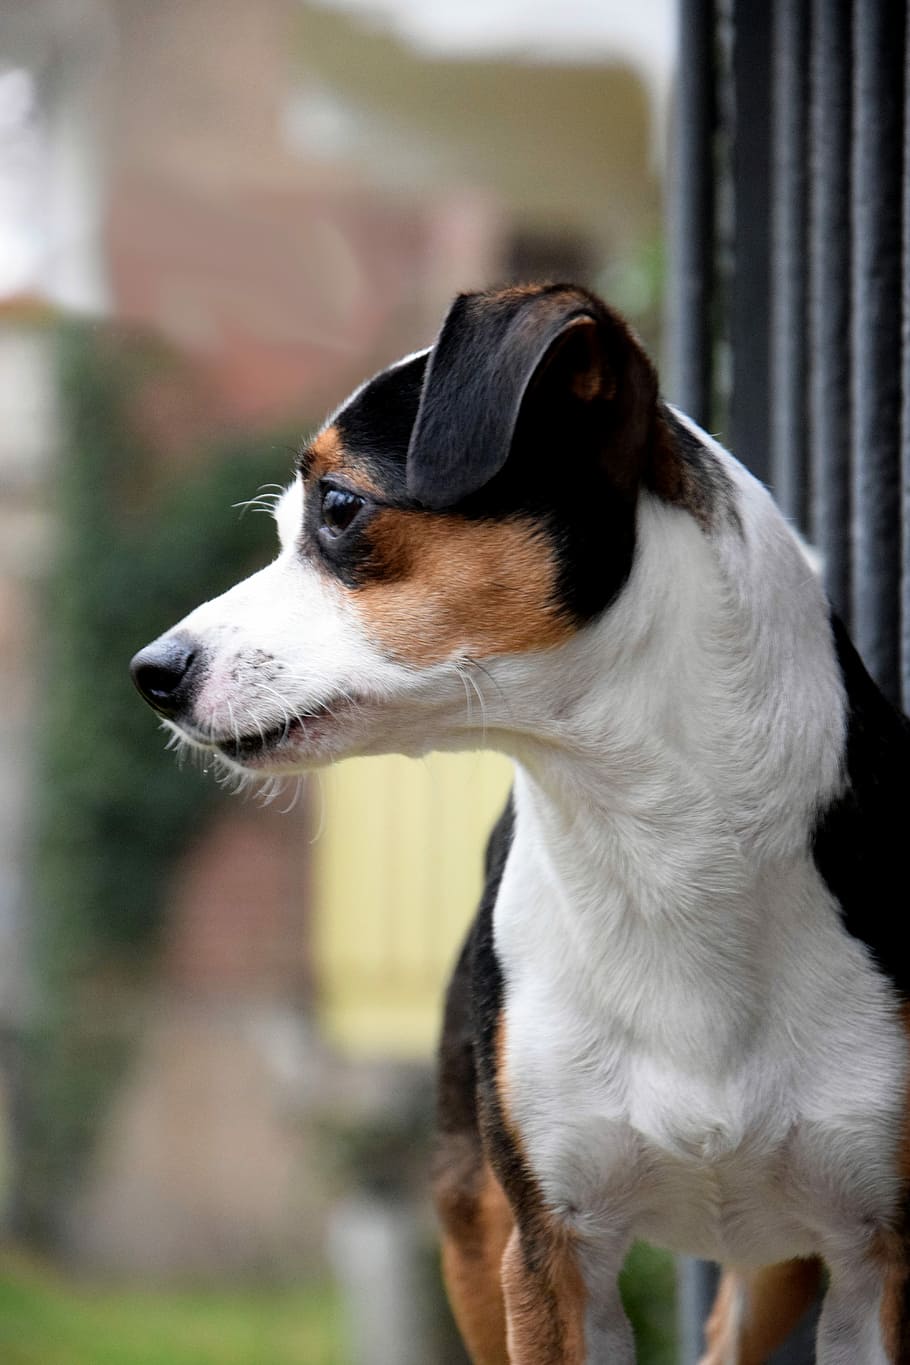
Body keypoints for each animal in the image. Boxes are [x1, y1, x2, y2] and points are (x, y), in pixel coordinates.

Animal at [131, 282, 910, 1359]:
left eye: (339, 508)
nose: (153, 672)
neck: (652, 845)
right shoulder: (549, 1254)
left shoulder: (880, 1260)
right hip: (473, 1227)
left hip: (775, 1264)